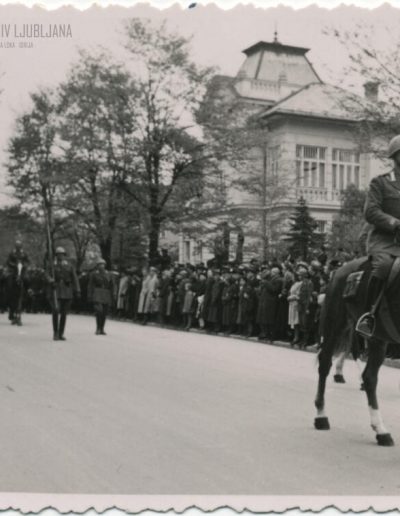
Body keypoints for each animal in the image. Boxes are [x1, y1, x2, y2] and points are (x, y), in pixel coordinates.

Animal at [314, 256, 400, 446]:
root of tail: (338, 271)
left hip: (376, 337)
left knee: (369, 376)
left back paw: (380, 430)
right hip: (335, 325)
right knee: (325, 364)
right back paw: (321, 416)